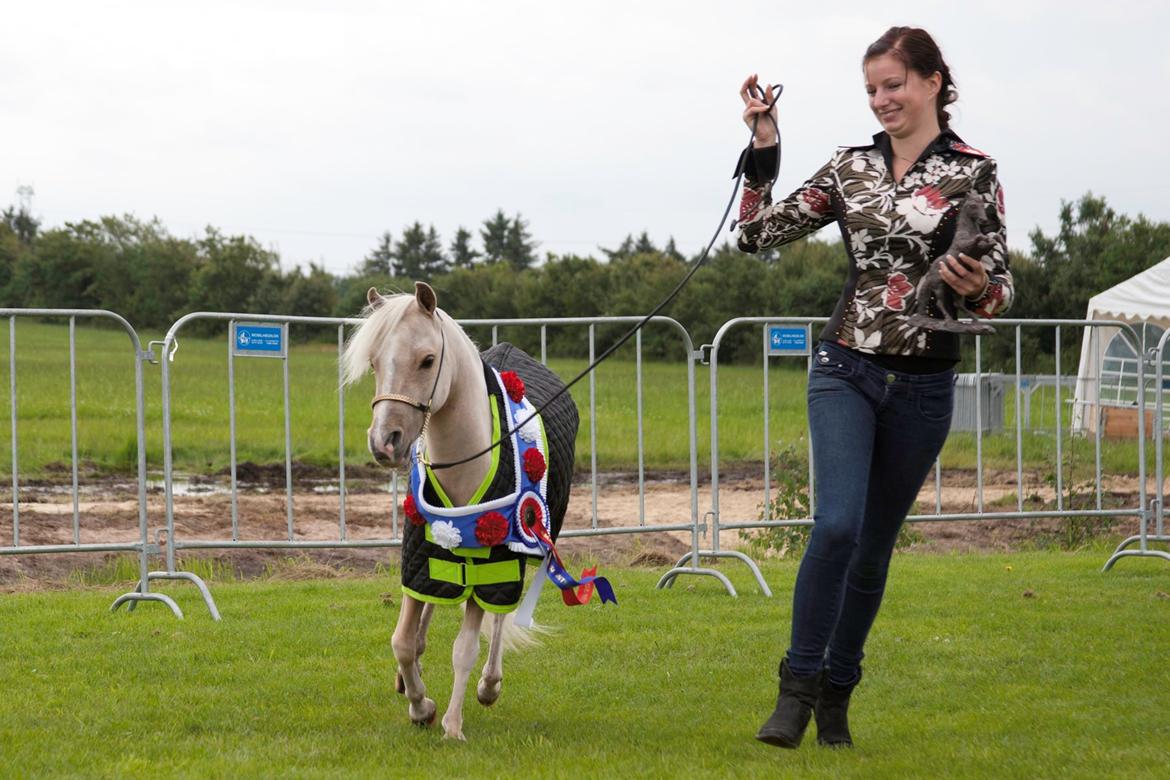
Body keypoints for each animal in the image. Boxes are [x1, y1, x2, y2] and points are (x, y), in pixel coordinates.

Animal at [341, 284, 580, 743]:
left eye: (427, 360)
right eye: (376, 362)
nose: (384, 442)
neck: (467, 459)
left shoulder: (493, 565)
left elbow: (465, 648)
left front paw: (451, 722)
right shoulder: (421, 552)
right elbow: (403, 638)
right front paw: (420, 704)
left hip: (525, 546)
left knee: (500, 621)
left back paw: (489, 685)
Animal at [903, 191, 996, 336]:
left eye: (982, 205)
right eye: (973, 206)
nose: (983, 220)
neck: (969, 231)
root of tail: (929, 275)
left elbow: (989, 241)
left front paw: (993, 239)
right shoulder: (965, 246)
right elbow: (977, 239)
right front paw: (983, 238)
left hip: (955, 289)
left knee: (958, 304)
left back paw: (974, 322)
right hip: (939, 287)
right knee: (940, 303)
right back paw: (949, 321)